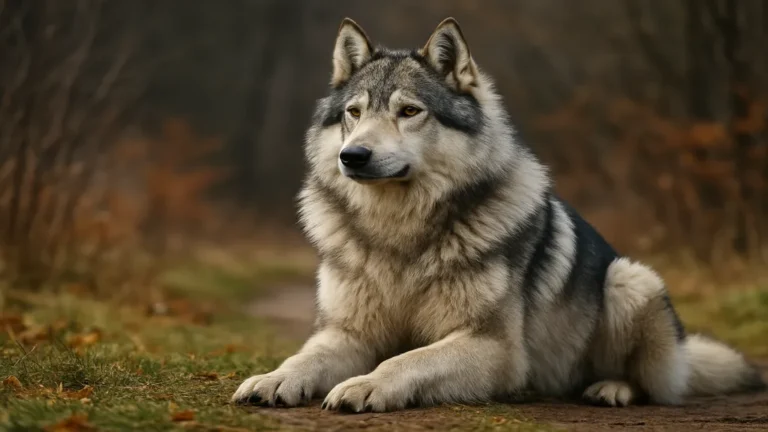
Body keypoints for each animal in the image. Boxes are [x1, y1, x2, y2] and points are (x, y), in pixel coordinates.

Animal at [232, 17, 765, 412]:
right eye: (355, 113)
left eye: (409, 112)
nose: (353, 156)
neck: (400, 233)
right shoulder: (347, 333)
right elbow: (304, 358)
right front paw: (273, 378)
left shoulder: (494, 349)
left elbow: (406, 361)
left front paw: (366, 385)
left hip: (629, 279)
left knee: (653, 387)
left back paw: (610, 389)